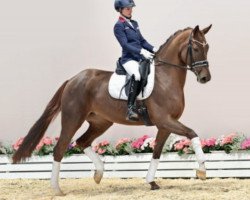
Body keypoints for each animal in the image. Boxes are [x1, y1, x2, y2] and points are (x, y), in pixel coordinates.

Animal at [12, 25, 212, 195]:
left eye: (207, 47)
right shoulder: (165, 120)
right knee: (60, 148)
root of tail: (72, 79)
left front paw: (151, 182)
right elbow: (192, 133)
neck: (165, 79)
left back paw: (98, 174)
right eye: (195, 48)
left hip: (101, 122)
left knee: (82, 142)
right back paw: (57, 189)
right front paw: (202, 169)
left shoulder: (165, 125)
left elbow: (156, 152)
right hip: (72, 119)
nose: (205, 78)